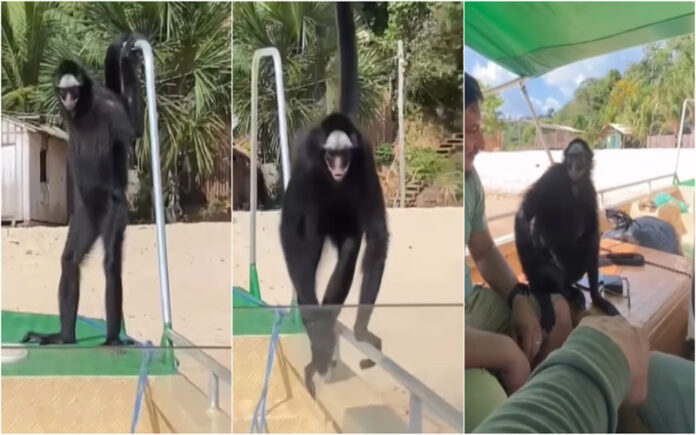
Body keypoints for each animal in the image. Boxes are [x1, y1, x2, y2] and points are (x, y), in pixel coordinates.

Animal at [21, 35, 144, 346]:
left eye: (74, 90)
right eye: (64, 91)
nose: (69, 100)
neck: (86, 107)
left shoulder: (108, 104)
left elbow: (135, 132)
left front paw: (127, 61)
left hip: (114, 210)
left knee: (111, 264)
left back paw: (112, 338)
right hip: (85, 217)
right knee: (69, 261)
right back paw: (65, 337)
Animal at [279, 2, 388, 397]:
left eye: (345, 157)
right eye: (331, 157)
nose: (340, 168)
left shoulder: (365, 158)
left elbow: (376, 236)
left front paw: (360, 327)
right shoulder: (308, 160)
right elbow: (289, 228)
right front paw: (310, 313)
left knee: (351, 246)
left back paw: (326, 333)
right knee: (309, 230)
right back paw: (318, 336)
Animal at [514, 138, 620, 333]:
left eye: (580, 158)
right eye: (571, 157)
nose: (575, 167)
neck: (573, 183)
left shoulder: (587, 186)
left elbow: (593, 231)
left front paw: (597, 298)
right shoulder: (553, 175)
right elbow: (523, 215)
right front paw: (539, 291)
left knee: (590, 242)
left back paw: (575, 291)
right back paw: (554, 289)